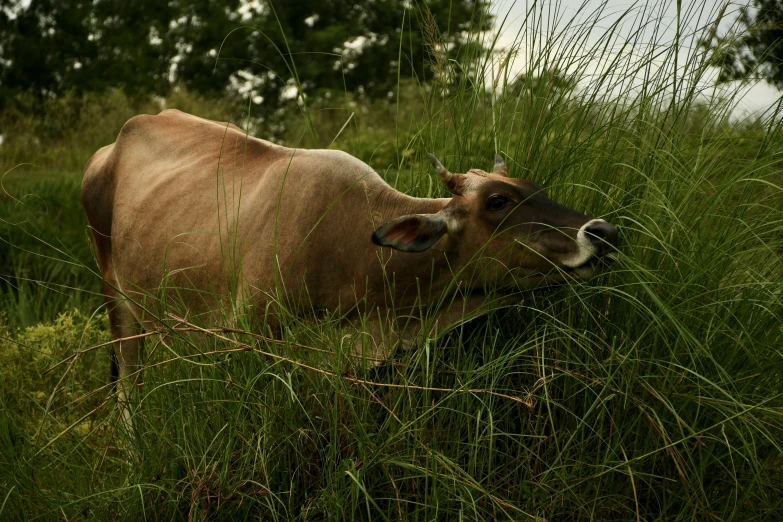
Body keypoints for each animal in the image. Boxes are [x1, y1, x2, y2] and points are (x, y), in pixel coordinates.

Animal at [81, 107, 620, 402]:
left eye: (537, 189)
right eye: (498, 202)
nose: (605, 231)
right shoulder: (249, 339)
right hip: (117, 301)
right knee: (128, 387)